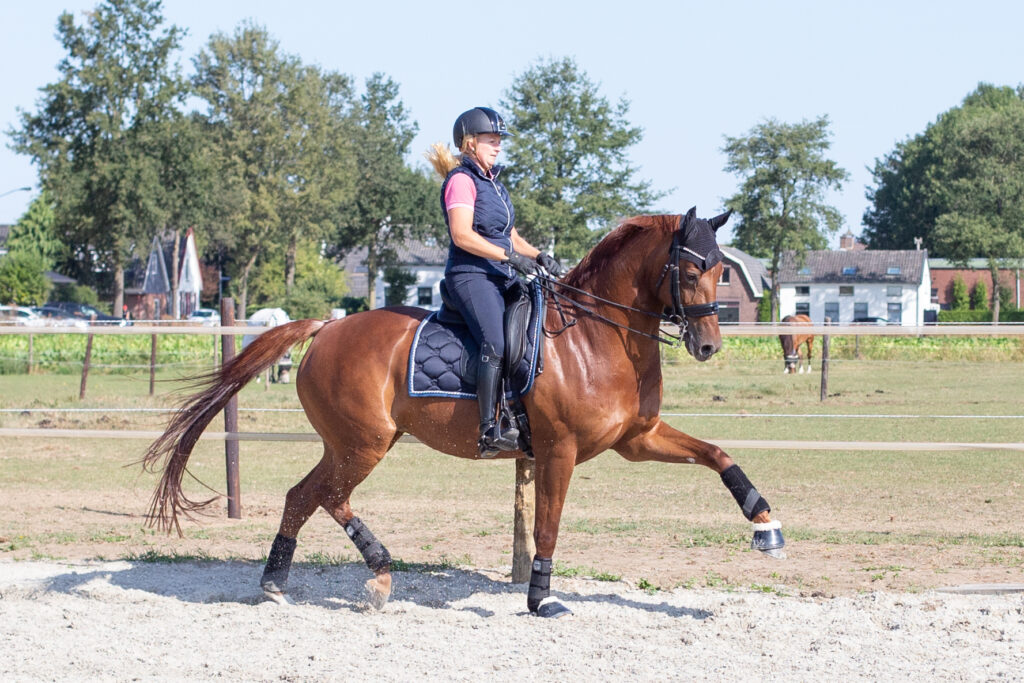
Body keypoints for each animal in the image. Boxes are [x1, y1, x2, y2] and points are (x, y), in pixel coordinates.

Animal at [142, 205, 782, 618]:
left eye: (722, 268)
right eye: (692, 269)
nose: (709, 346)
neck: (597, 336)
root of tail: (326, 327)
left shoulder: (637, 438)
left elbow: (717, 454)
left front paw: (765, 524)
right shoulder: (559, 450)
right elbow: (547, 523)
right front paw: (541, 597)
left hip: (356, 442)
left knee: (310, 495)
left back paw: (303, 579)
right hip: (362, 443)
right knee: (319, 495)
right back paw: (353, 574)